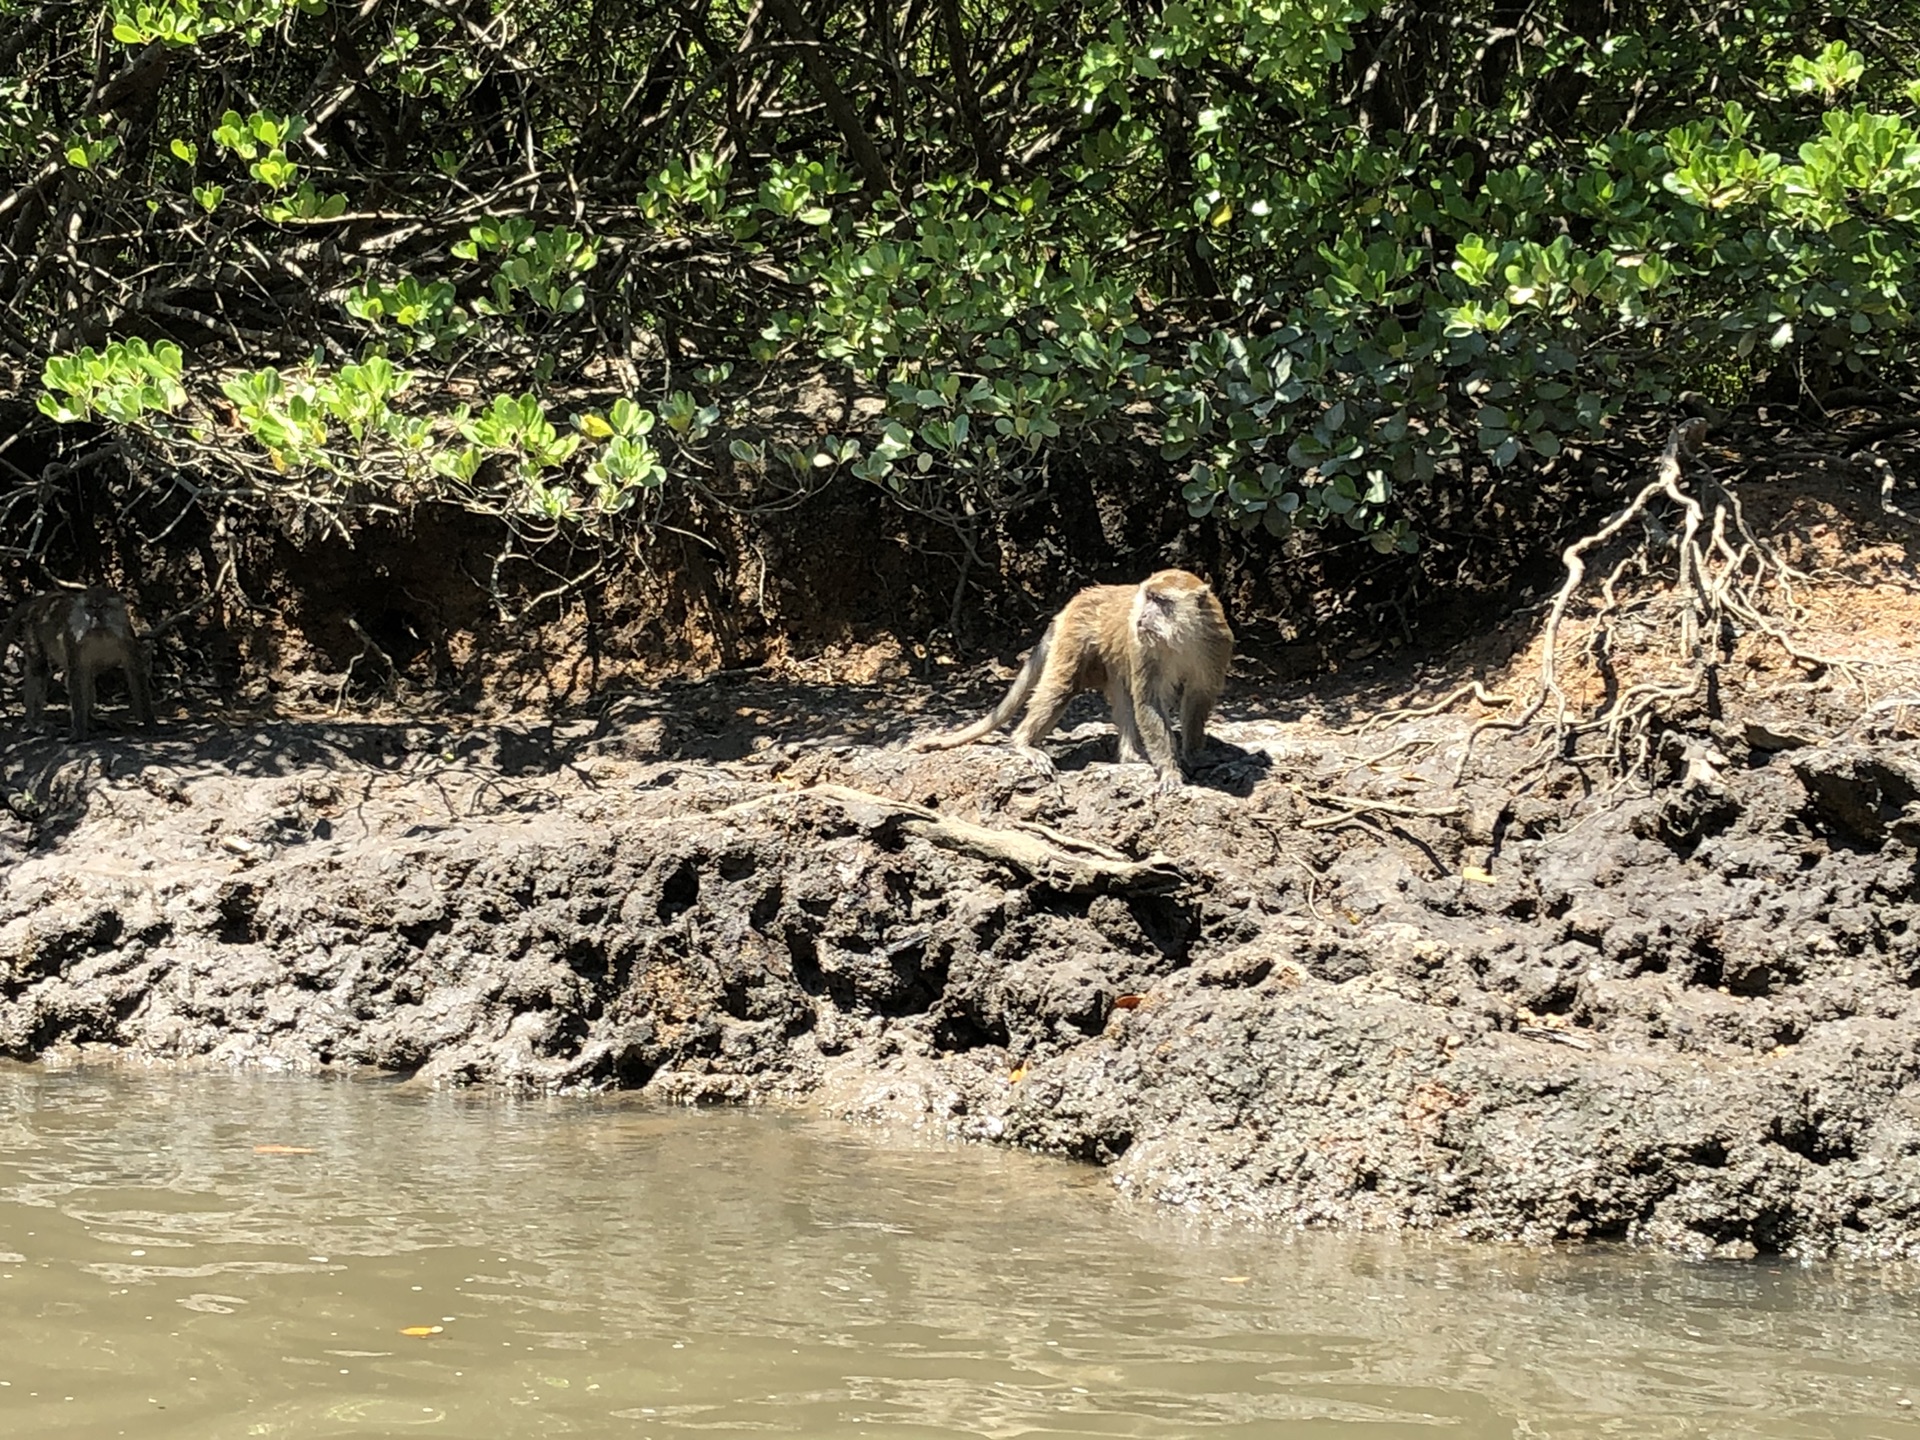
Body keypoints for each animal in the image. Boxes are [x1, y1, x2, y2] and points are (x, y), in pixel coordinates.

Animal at [2, 587, 153, 744]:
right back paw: (36, 723)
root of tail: (41, 601)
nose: (94, 620)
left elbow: (135, 671)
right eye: (90, 608)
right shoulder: (73, 640)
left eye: (103, 608)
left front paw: (150, 724)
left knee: (89, 676)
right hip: (33, 628)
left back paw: (92, 720)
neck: (101, 635)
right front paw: (79, 733)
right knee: (39, 668)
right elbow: (77, 675)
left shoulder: (126, 637)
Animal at [910, 568, 1228, 794]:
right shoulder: (1143, 648)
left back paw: (1130, 755)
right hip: (1076, 634)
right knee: (1061, 687)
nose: (1142, 617)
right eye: (1148, 597)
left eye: (1161, 601)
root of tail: (1078, 599)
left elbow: (1199, 696)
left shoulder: (1215, 642)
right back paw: (1024, 742)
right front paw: (1170, 770)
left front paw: (1193, 754)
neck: (1180, 637)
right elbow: (1149, 703)